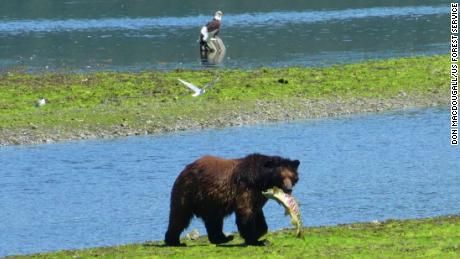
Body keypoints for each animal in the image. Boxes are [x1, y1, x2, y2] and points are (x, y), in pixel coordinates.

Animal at [164, 153, 300, 247]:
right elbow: (245, 213)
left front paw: (259, 233)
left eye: (291, 176)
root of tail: (184, 170)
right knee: (180, 216)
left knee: (214, 220)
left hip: (210, 200)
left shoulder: (258, 196)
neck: (260, 180)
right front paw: (255, 240)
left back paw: (223, 238)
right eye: (281, 176)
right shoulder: (245, 188)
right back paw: (174, 241)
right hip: (189, 193)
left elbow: (257, 214)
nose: (288, 189)